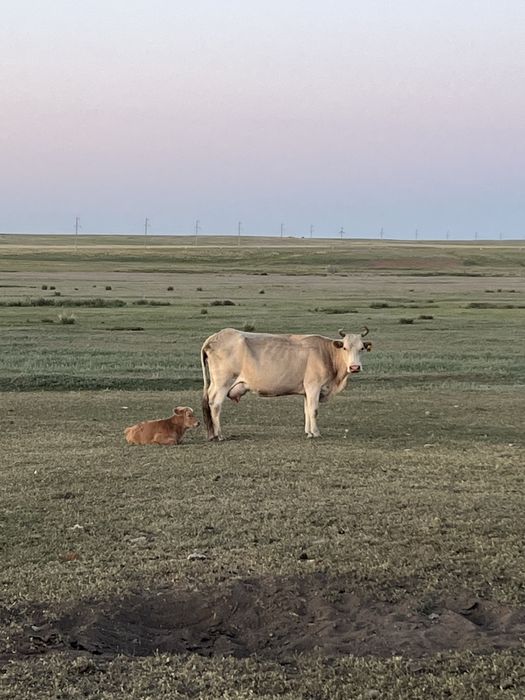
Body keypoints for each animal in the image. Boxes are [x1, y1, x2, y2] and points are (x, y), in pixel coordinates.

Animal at [201, 327, 372, 440]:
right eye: (345, 347)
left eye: (361, 348)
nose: (355, 367)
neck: (327, 354)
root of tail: (215, 337)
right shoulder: (314, 387)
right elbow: (314, 410)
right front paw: (316, 433)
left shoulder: (307, 390)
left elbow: (307, 410)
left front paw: (308, 432)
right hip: (223, 383)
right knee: (215, 404)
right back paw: (219, 434)